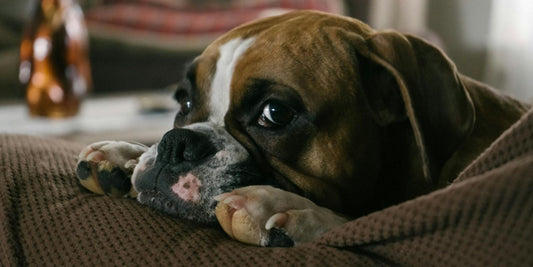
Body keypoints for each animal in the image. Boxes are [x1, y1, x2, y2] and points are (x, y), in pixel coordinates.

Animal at [75, 11, 528, 247]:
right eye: (184, 102)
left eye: (274, 113)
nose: (177, 144)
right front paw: (124, 154)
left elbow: (361, 221)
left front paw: (287, 209)